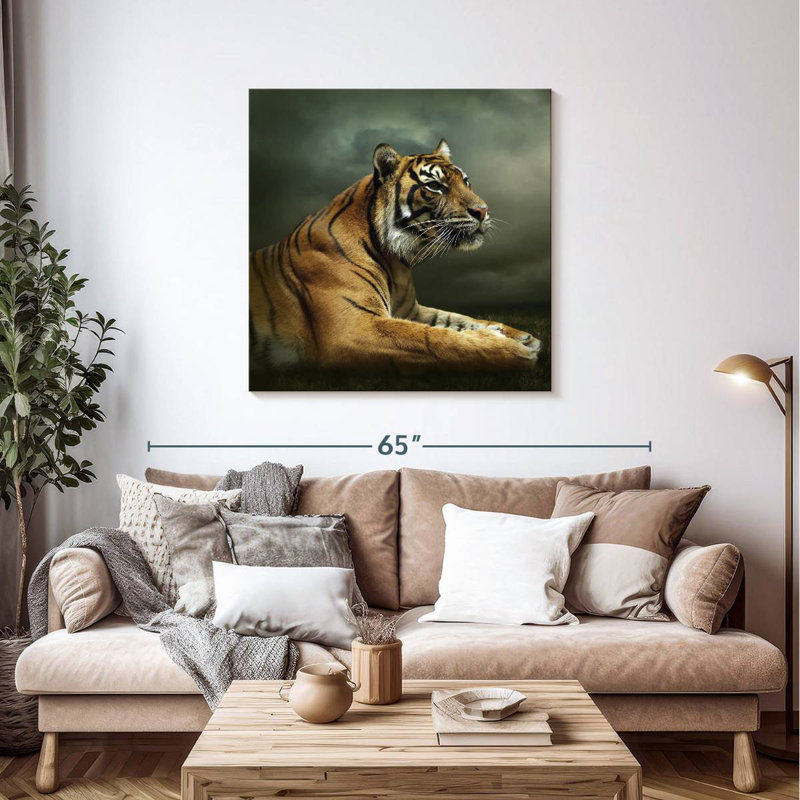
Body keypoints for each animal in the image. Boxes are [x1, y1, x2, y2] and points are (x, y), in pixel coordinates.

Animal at [249, 139, 541, 371]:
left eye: (466, 182)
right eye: (435, 186)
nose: (483, 211)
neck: (397, 261)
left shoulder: (411, 310)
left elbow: (455, 319)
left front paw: (520, 336)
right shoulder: (354, 327)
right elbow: (434, 339)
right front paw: (513, 350)